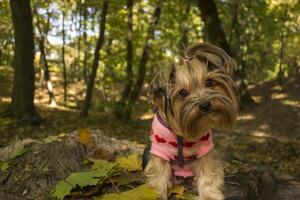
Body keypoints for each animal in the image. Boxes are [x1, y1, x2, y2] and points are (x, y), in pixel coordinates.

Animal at [144, 43, 238, 199]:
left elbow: (208, 172)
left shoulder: (204, 149)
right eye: (183, 93)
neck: (180, 134)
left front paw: (209, 195)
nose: (205, 104)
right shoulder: (159, 150)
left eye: (209, 82)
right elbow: (159, 174)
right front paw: (155, 194)